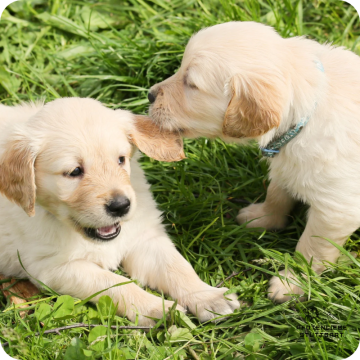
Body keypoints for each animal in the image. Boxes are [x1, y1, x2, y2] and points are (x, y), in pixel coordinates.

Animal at [0, 97, 242, 324]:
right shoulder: (53, 267)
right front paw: (155, 308)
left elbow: (177, 267)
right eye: (74, 171)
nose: (121, 206)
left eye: (121, 160)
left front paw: (208, 297)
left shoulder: (145, 238)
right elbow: (115, 283)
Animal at [148, 21, 360, 302]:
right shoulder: (285, 165)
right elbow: (276, 194)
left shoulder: (336, 211)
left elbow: (310, 250)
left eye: (191, 84)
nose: (149, 95)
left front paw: (292, 283)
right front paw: (263, 219)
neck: (305, 117)